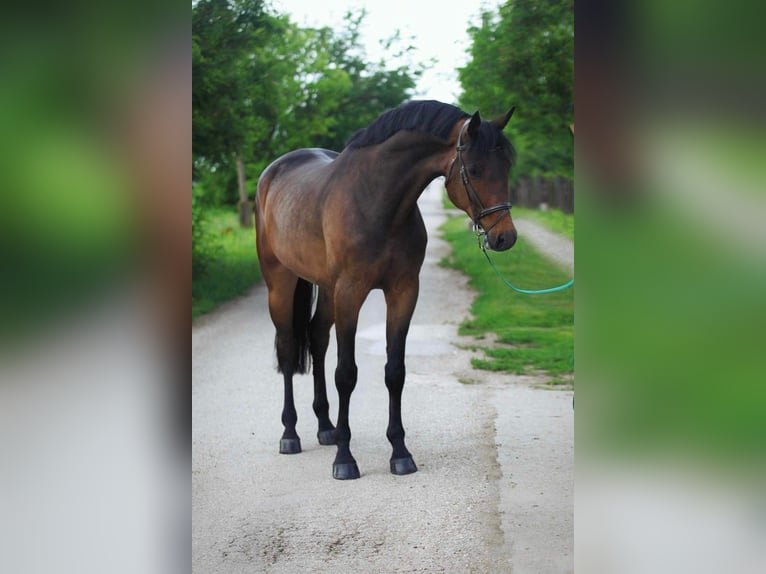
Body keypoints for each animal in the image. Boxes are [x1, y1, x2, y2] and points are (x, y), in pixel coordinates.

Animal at [255, 100, 520, 482]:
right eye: (475, 169)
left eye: (507, 166)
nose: (505, 237)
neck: (377, 202)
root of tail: (272, 174)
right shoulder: (351, 293)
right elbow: (346, 374)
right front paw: (345, 460)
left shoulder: (403, 291)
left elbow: (395, 372)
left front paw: (400, 453)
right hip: (281, 283)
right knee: (290, 349)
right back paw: (290, 434)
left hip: (327, 289)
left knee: (317, 338)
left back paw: (325, 427)